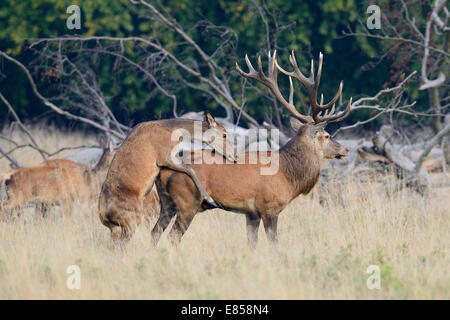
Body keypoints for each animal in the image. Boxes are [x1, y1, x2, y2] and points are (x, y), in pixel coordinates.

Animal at [99, 112, 237, 242]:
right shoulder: (164, 157)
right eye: (224, 134)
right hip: (132, 220)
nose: (235, 157)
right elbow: (191, 170)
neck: (175, 133)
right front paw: (210, 199)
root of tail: (103, 214)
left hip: (116, 228)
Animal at [153, 50, 354, 248]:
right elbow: (274, 244)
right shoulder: (269, 206)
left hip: (166, 203)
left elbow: (251, 244)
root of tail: (164, 169)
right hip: (188, 200)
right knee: (172, 237)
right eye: (326, 135)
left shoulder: (251, 213)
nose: (345, 150)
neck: (287, 176)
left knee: (155, 231)